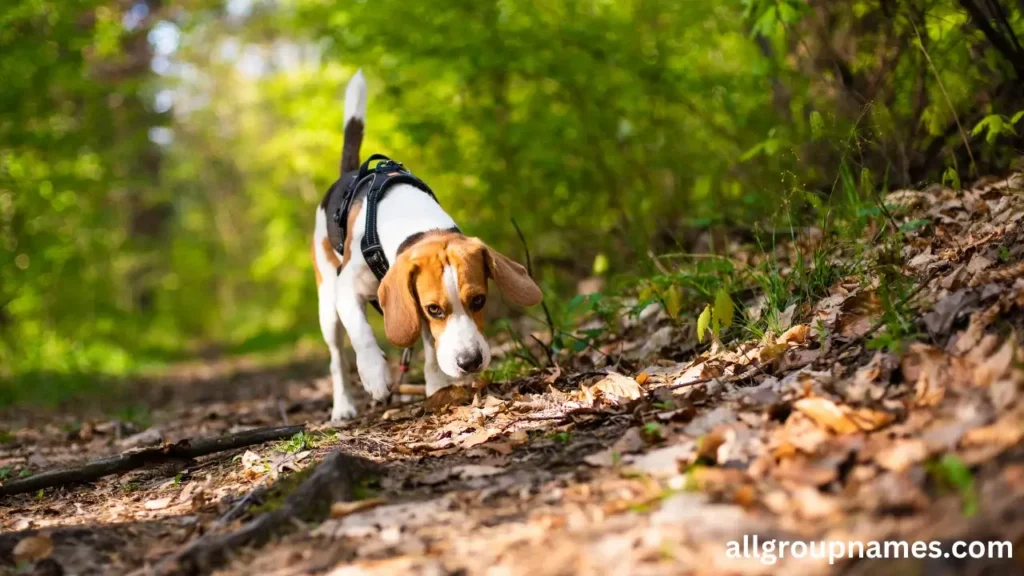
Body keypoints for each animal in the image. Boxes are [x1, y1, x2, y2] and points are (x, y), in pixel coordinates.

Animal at [311, 70, 544, 416]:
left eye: (479, 300)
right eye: (435, 309)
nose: (470, 362)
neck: (417, 224)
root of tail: (349, 173)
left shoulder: (413, 304)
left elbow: (432, 347)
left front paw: (437, 385)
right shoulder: (348, 288)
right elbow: (362, 333)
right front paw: (375, 373)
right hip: (327, 303)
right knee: (337, 357)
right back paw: (343, 407)